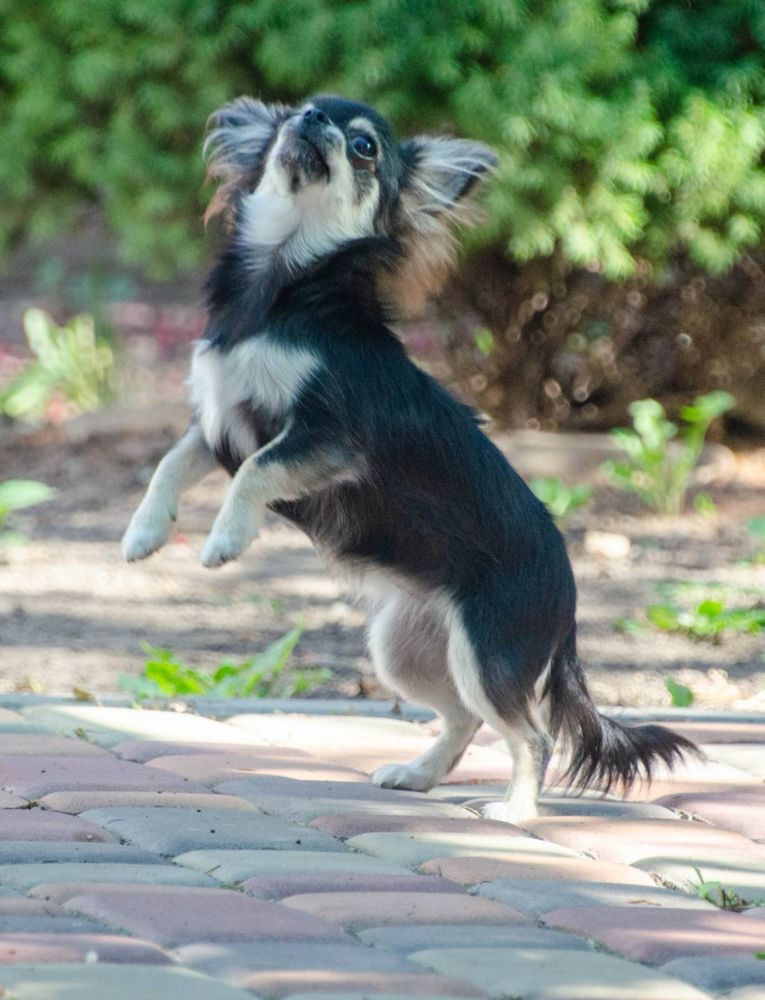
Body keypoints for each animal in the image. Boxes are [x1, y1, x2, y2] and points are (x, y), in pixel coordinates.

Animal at [121, 95, 700, 820]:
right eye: (299, 112)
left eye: (365, 146)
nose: (314, 122)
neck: (284, 288)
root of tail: (569, 604)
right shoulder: (218, 424)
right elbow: (169, 464)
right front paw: (144, 533)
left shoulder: (329, 437)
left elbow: (256, 473)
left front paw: (225, 539)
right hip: (406, 651)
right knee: (466, 717)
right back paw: (419, 774)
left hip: (485, 653)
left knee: (530, 735)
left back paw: (515, 810)